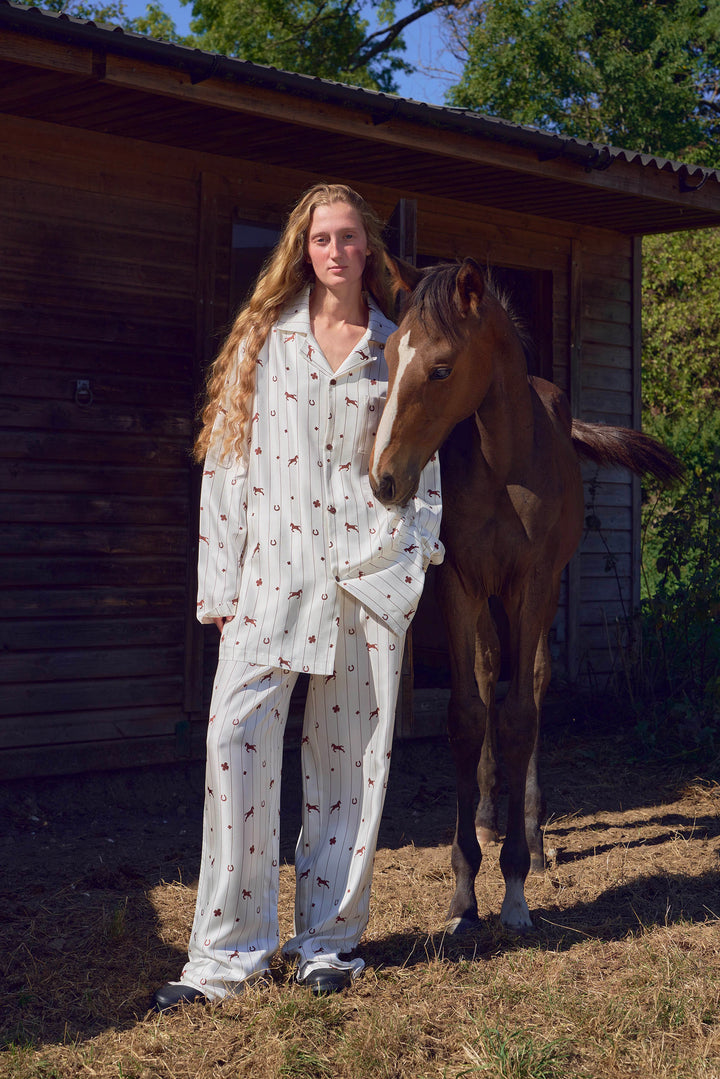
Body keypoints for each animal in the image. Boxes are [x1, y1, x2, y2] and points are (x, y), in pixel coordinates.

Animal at [370, 257, 682, 934]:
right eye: (387, 351)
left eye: (441, 368)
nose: (383, 479)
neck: (502, 464)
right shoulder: (460, 580)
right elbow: (467, 713)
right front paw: (465, 891)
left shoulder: (532, 583)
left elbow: (519, 716)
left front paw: (514, 886)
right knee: (492, 673)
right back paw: (490, 815)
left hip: (539, 594)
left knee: (533, 683)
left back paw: (534, 838)